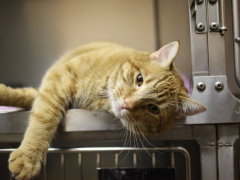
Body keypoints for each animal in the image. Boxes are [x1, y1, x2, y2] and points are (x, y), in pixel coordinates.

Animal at [0, 41, 206, 179]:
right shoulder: (58, 77)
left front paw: (28, 157)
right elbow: (43, 116)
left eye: (153, 108)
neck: (102, 94)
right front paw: (29, 156)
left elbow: (40, 112)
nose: (126, 103)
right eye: (139, 79)